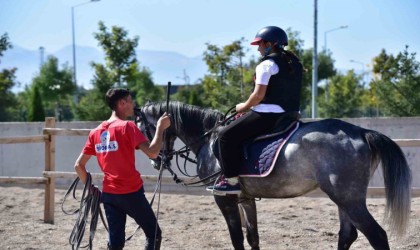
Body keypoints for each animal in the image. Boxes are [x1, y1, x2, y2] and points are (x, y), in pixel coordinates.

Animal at [136, 100, 412, 250]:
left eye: (144, 128)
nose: (155, 160)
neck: (209, 139)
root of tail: (362, 132)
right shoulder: (245, 198)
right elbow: (253, 237)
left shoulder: (224, 199)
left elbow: (237, 239)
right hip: (344, 199)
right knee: (348, 235)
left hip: (349, 199)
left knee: (376, 235)